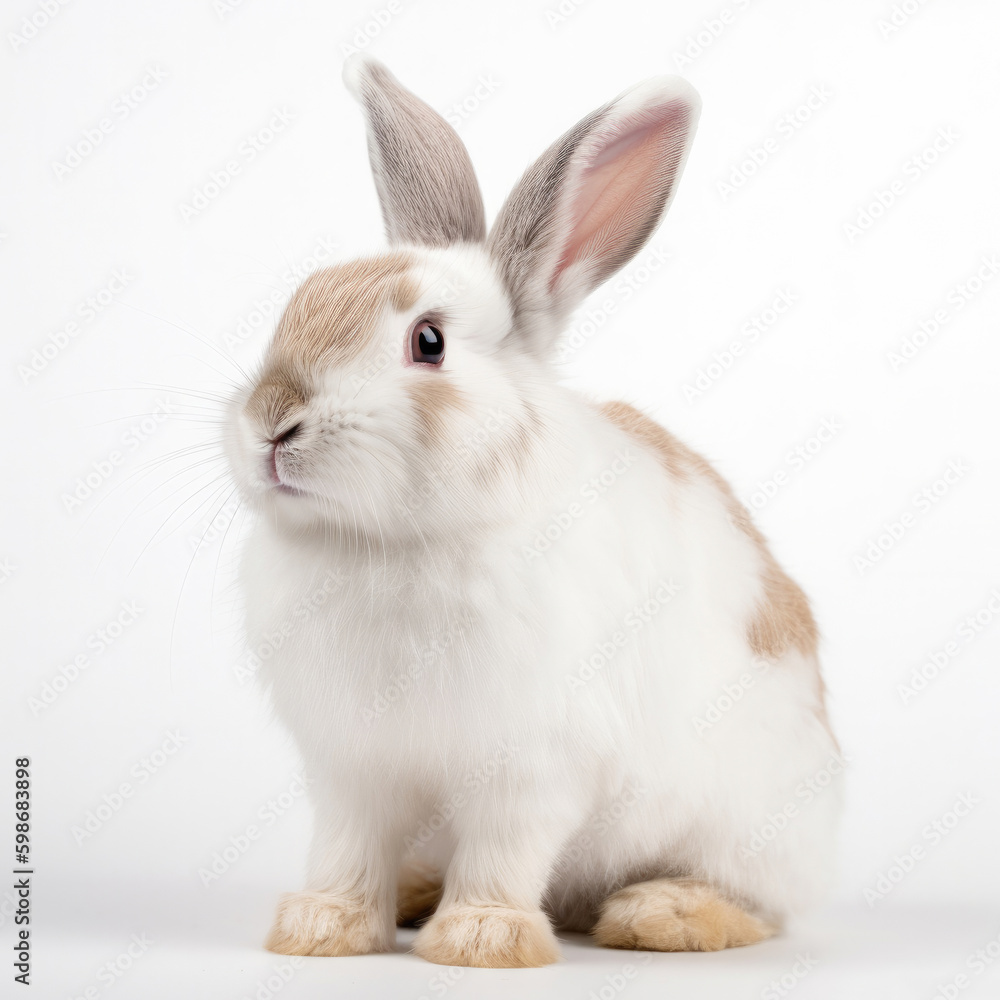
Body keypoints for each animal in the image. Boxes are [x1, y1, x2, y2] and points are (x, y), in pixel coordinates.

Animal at [223, 56, 840, 968]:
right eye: (297, 303)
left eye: (429, 342)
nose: (272, 419)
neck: (390, 541)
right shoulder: (354, 768)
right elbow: (345, 848)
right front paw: (322, 928)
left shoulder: (534, 764)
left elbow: (505, 849)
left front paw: (481, 939)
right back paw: (418, 892)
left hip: (746, 829)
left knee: (762, 906)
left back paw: (662, 915)